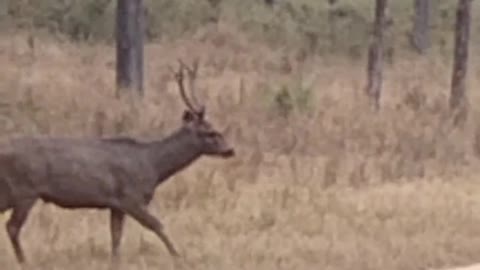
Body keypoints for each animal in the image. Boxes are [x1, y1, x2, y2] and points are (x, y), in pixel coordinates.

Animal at [0, 59, 234, 264]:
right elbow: (157, 226)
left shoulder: (116, 204)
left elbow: (116, 236)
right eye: (210, 132)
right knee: (12, 226)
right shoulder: (131, 197)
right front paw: (179, 258)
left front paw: (116, 262)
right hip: (24, 190)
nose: (230, 150)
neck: (153, 166)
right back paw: (24, 261)